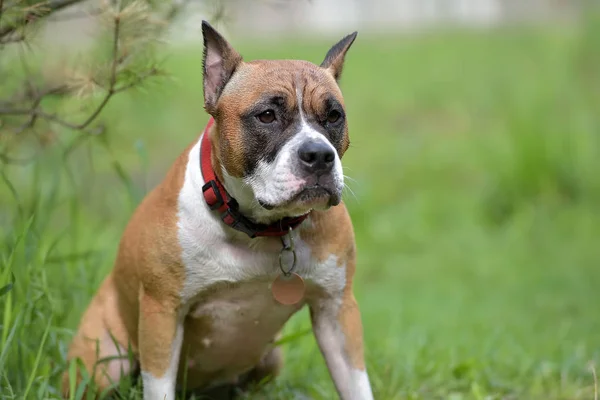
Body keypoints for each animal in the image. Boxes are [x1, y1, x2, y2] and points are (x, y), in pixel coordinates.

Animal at [63, 21, 372, 400]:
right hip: (104, 364)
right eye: (267, 116)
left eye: (333, 116)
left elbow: (357, 384)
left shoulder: (337, 310)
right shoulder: (162, 314)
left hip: (272, 358)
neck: (260, 229)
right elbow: (159, 386)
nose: (319, 155)